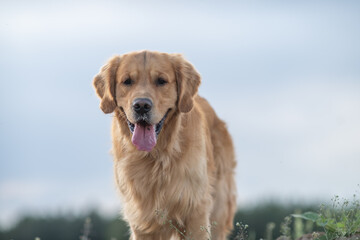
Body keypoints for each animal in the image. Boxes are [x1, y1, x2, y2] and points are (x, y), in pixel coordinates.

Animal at [93, 51, 236, 240]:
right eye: (127, 81)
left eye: (161, 81)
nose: (141, 106)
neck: (155, 155)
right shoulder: (141, 221)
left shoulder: (196, 210)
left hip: (219, 207)